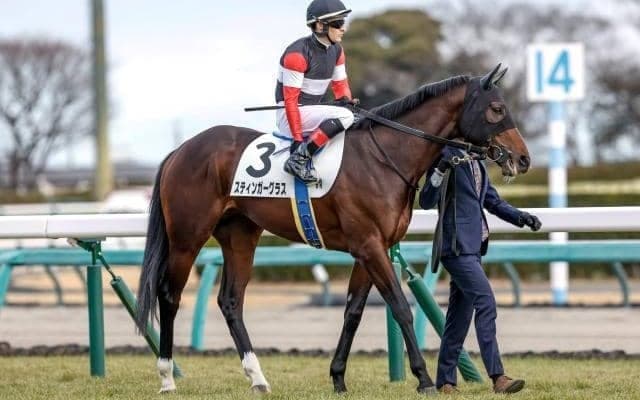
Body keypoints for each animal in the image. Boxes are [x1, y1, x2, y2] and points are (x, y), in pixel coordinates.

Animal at [135, 64, 530, 395]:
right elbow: (400, 307)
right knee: (169, 296)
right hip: (187, 238)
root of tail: (180, 150)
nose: (523, 158)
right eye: (497, 109)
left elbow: (353, 312)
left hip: (240, 235)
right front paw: (424, 379)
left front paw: (338, 378)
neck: (384, 158)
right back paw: (167, 378)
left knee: (231, 301)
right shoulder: (370, 246)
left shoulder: (369, 249)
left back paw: (258, 379)